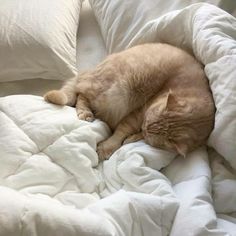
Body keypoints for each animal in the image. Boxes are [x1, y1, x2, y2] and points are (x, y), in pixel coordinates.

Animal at [44, 42, 216, 160]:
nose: (144, 127)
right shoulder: (138, 113)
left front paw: (132, 138)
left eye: (148, 130)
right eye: (147, 120)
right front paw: (109, 147)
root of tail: (89, 71)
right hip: (116, 91)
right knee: (81, 94)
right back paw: (85, 113)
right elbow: (120, 132)